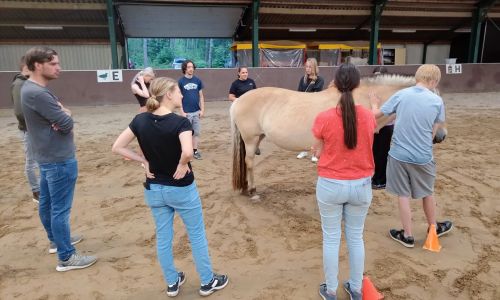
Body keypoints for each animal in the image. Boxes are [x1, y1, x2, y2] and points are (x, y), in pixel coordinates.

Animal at [229, 74, 446, 198]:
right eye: (436, 105)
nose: (441, 136)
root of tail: (239, 100)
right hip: (250, 139)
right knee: (249, 163)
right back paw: (252, 191)